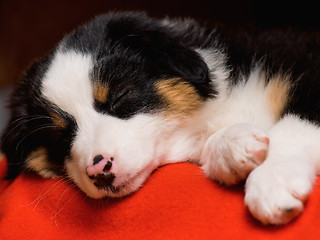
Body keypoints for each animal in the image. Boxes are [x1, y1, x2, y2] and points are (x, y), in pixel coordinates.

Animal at [0, 11, 320, 225]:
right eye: (59, 135)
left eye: (120, 95)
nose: (99, 170)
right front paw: (232, 147)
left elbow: (294, 127)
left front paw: (272, 182)